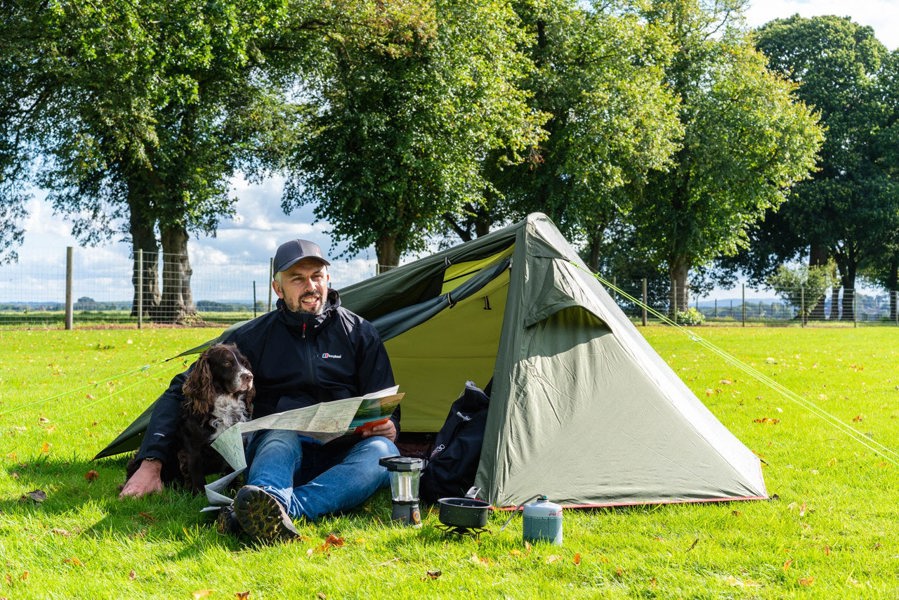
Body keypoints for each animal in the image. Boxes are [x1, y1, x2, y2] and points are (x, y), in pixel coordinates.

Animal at [125, 342, 255, 492]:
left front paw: (233, 490)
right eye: (227, 363)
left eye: (244, 363)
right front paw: (200, 494)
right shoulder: (193, 450)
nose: (249, 376)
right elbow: (197, 477)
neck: (226, 404)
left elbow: (232, 472)